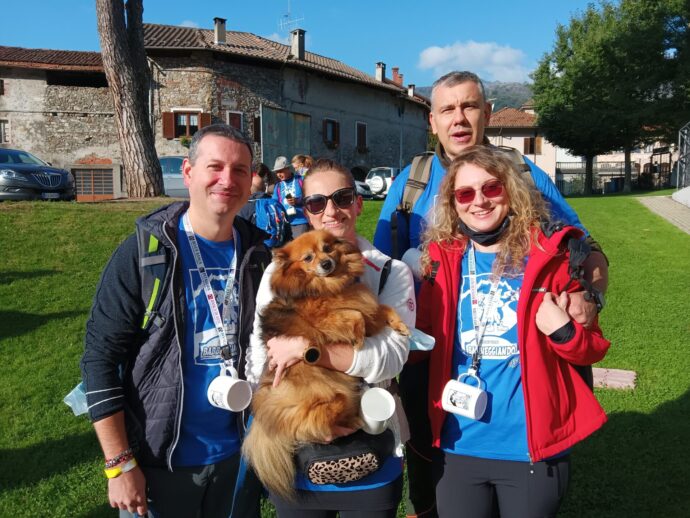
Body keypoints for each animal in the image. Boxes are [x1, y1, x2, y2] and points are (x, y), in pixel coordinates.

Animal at [242, 231, 406, 500]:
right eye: (308, 257)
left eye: (327, 248)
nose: (326, 263)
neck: (328, 287)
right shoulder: (324, 321)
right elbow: (355, 316)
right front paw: (358, 337)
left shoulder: (365, 305)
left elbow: (381, 308)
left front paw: (400, 325)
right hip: (329, 397)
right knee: (312, 424)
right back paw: (351, 422)